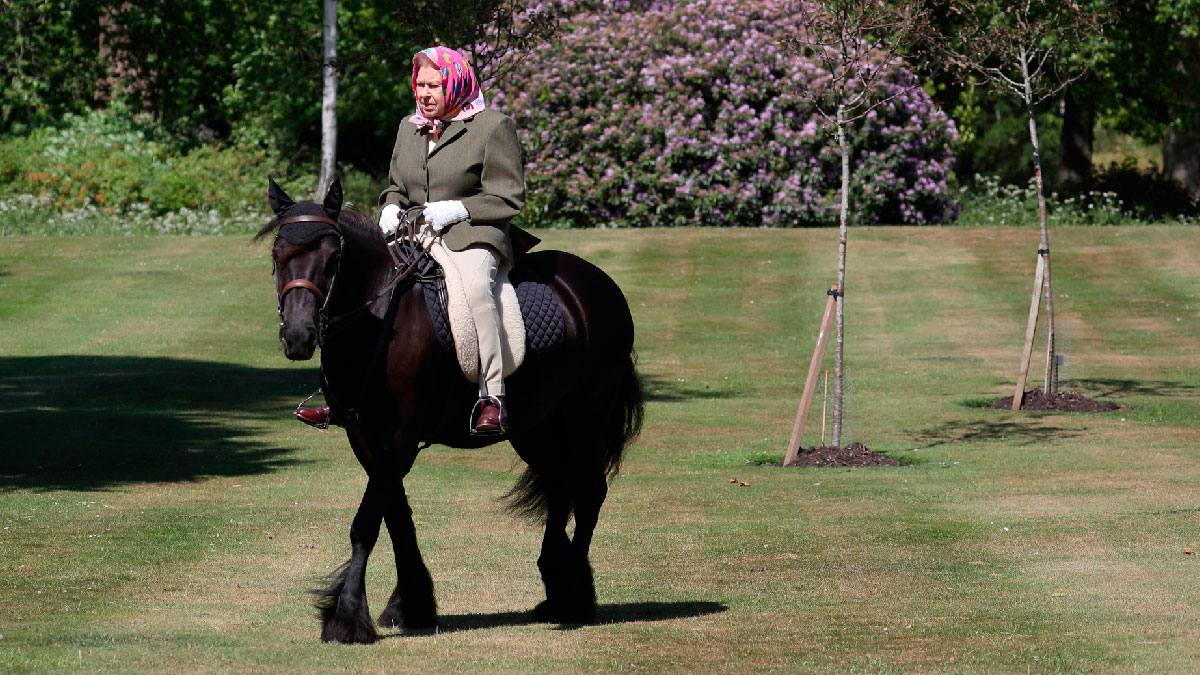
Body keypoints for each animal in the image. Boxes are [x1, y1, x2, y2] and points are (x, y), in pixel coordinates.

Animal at [257, 178, 644, 643]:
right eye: (277, 256)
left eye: (333, 258)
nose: (298, 336)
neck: (378, 318)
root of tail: (597, 284)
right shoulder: (365, 438)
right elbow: (396, 518)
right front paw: (410, 605)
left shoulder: (398, 437)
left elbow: (367, 522)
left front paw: (346, 617)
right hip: (535, 428)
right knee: (560, 486)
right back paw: (556, 586)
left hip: (586, 417)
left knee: (587, 492)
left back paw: (574, 598)